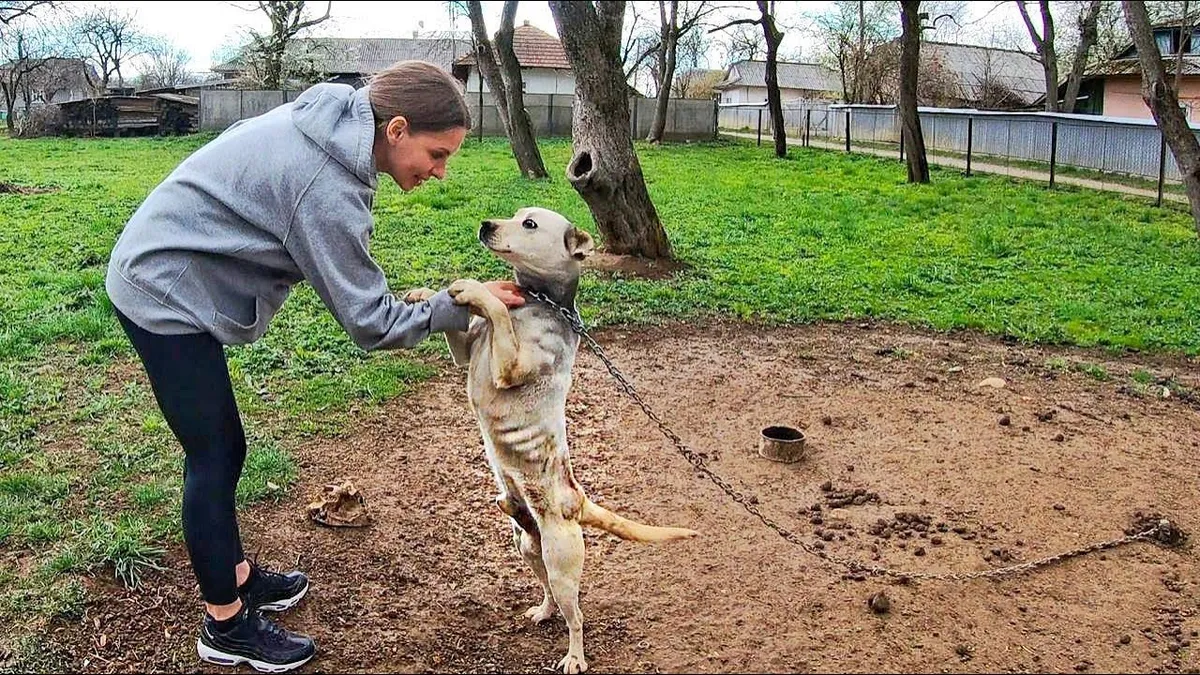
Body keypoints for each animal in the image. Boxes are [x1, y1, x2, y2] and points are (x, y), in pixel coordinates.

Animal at [408, 207, 700, 667]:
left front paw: (474, 288)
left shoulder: (508, 364)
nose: (486, 225)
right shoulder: (465, 353)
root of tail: (577, 500)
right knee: (548, 591)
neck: (536, 301)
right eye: (513, 215)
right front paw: (424, 294)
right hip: (527, 546)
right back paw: (544, 611)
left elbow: (496, 307)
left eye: (529, 224)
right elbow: (460, 327)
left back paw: (575, 657)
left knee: (576, 615)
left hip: (562, 561)